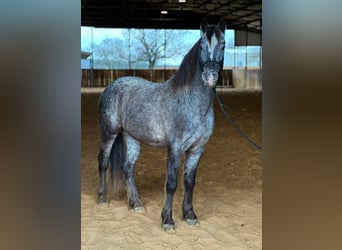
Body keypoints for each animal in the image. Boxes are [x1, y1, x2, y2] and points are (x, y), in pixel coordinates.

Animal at [97, 17, 226, 231]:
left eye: (223, 45)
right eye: (201, 45)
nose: (210, 76)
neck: (192, 103)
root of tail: (113, 85)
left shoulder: (197, 149)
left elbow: (189, 182)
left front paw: (190, 215)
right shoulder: (175, 148)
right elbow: (171, 184)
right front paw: (167, 220)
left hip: (132, 138)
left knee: (128, 167)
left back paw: (136, 203)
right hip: (109, 133)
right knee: (103, 162)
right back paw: (101, 199)